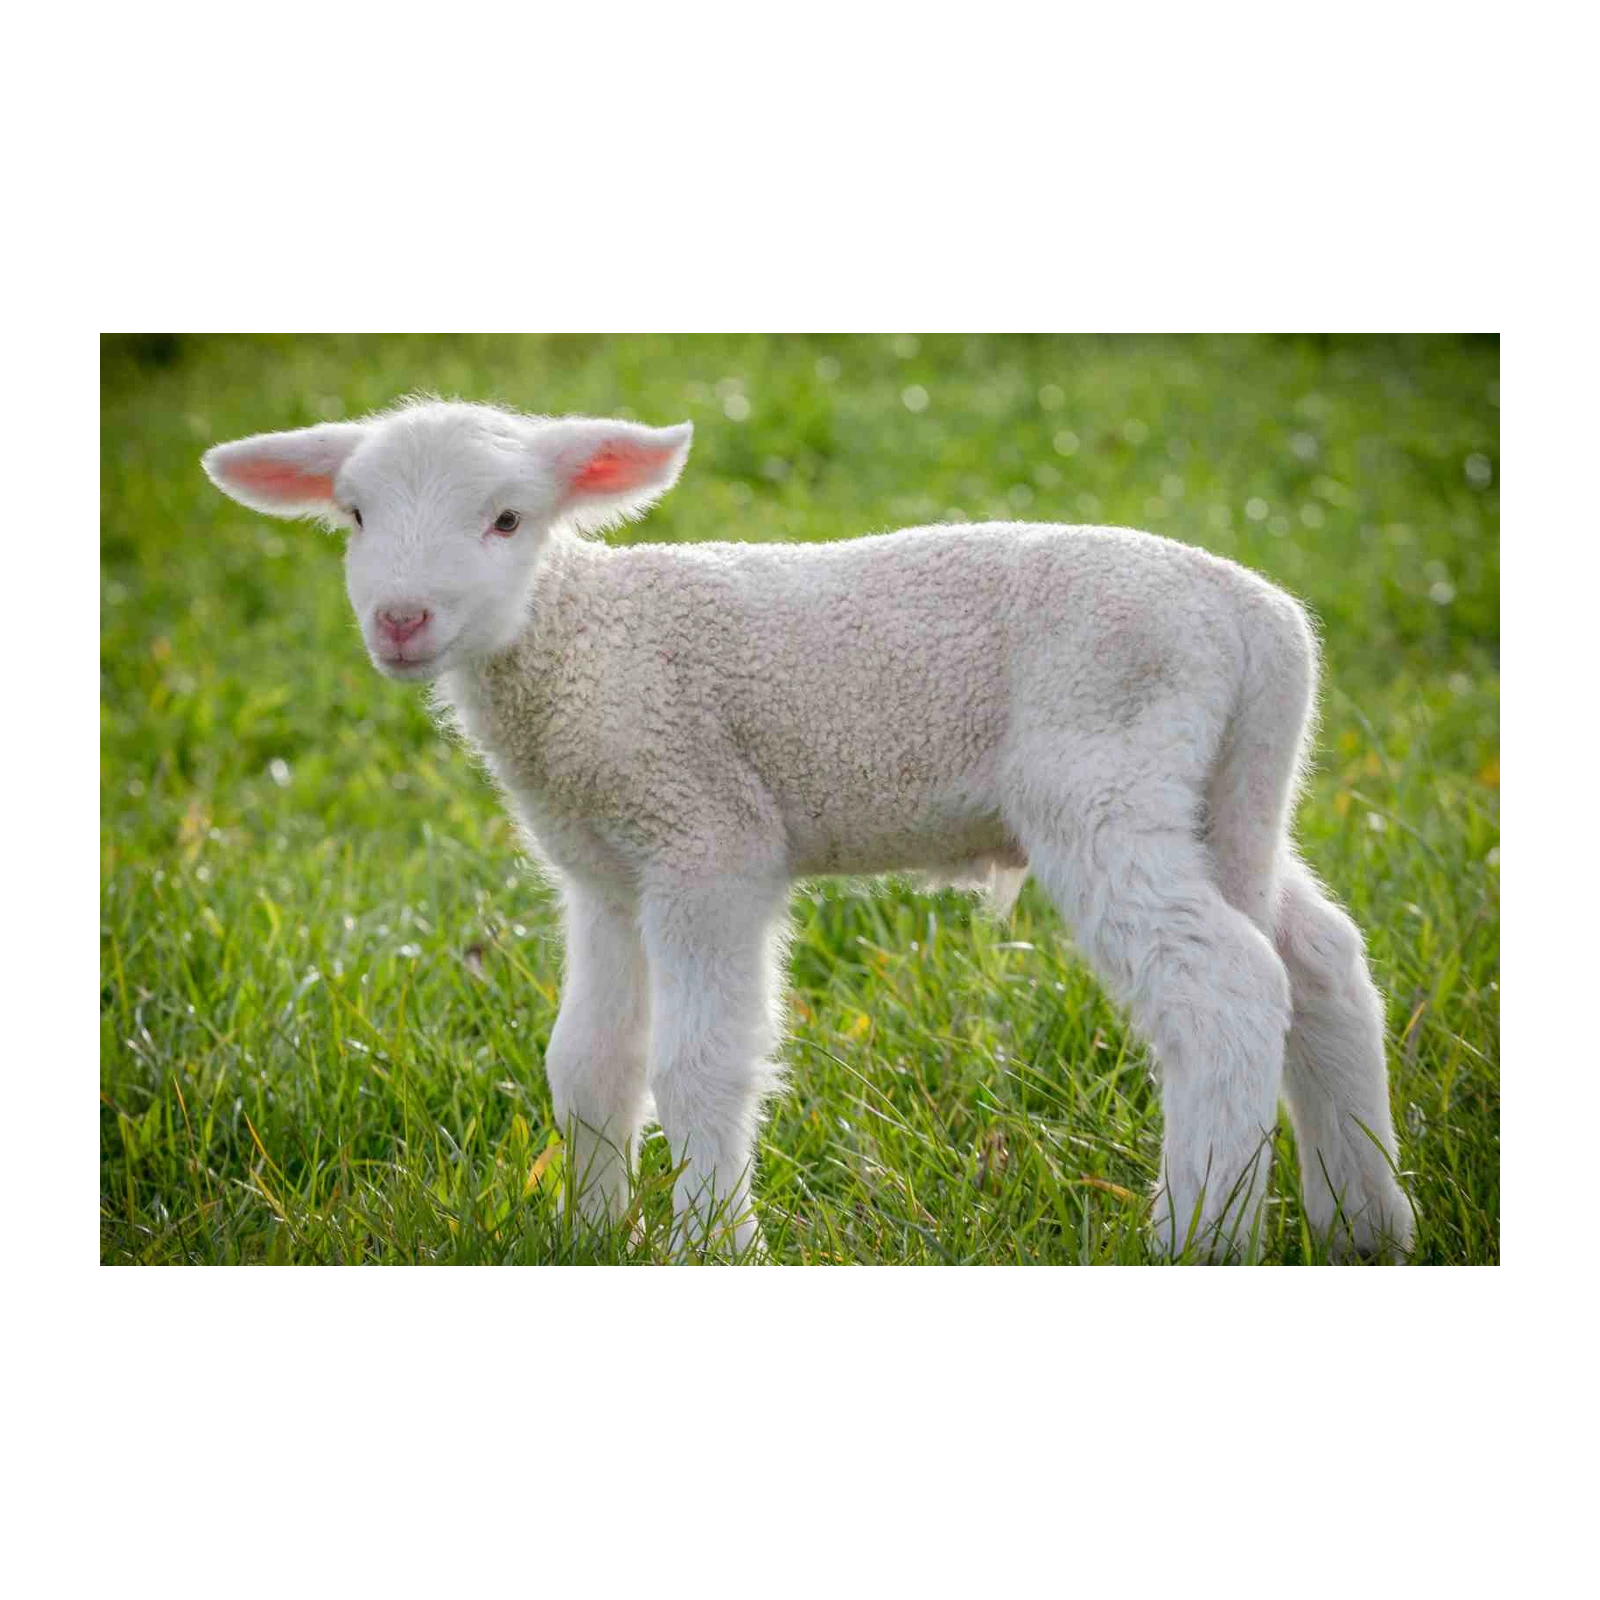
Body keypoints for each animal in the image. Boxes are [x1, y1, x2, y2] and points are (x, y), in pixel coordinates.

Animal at [202, 396, 1415, 1263]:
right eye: (354, 517)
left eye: (507, 520)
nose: (400, 620)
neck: (581, 644)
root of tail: (1258, 622)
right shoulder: (603, 871)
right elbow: (590, 1061)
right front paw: (589, 1233)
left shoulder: (705, 837)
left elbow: (699, 1064)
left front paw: (710, 1241)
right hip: (1223, 795)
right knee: (1319, 963)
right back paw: (1363, 1222)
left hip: (1106, 771)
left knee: (1225, 988)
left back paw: (1195, 1237)